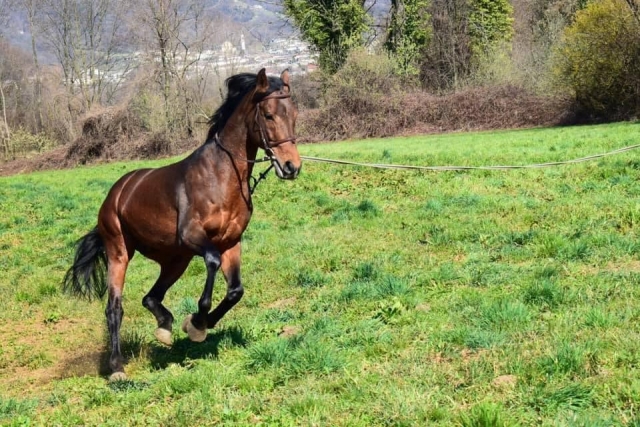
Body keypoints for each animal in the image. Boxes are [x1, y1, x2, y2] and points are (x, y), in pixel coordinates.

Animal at [63, 69, 301, 381]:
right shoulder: (193, 237)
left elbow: (235, 291)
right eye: (269, 115)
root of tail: (117, 192)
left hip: (175, 260)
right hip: (120, 253)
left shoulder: (231, 242)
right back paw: (117, 368)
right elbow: (211, 263)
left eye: (294, 113)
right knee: (114, 308)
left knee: (151, 297)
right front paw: (197, 323)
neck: (220, 176)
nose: (291, 166)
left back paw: (165, 328)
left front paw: (197, 326)